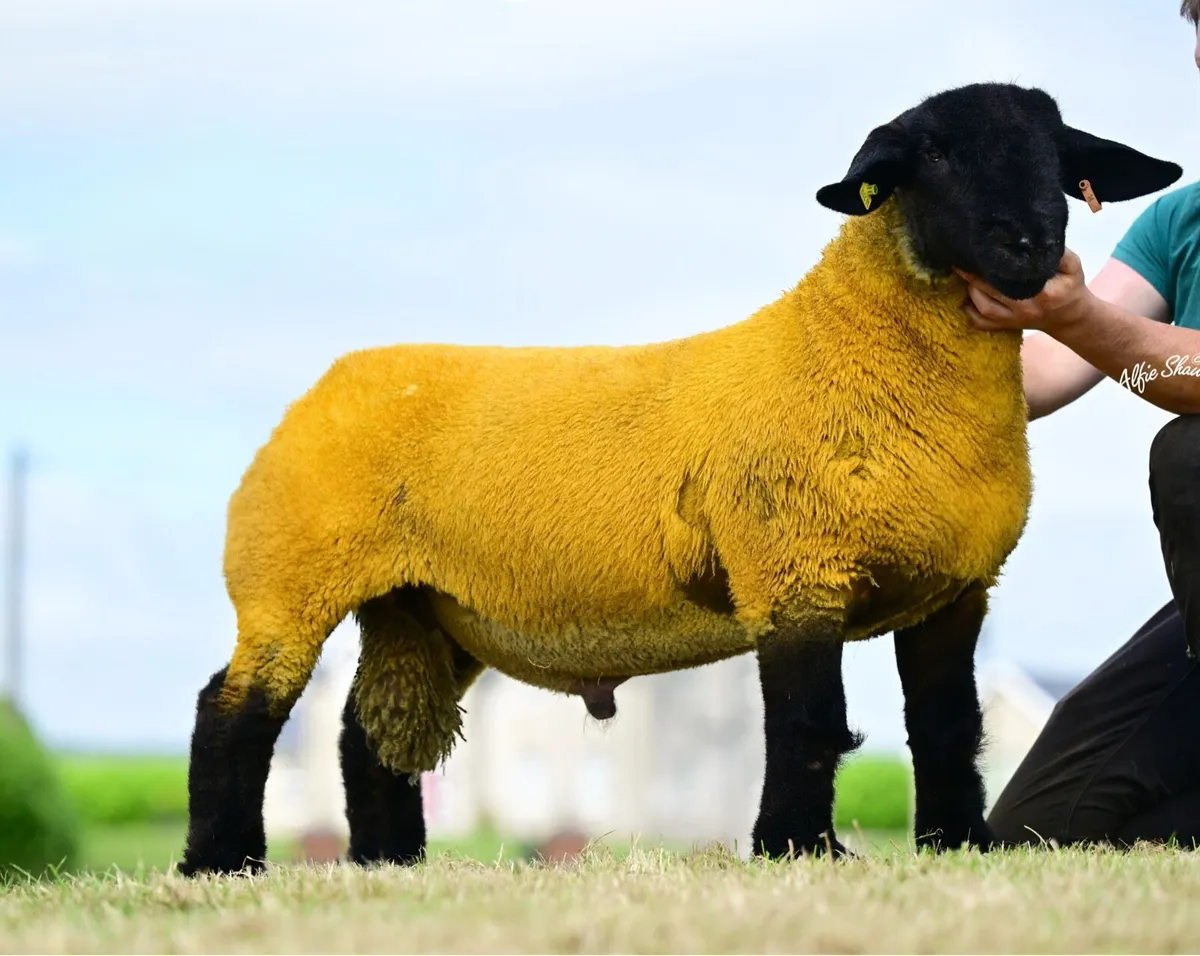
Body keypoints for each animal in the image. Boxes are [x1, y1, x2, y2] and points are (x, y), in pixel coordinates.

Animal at [178, 81, 1181, 876]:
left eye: (1058, 154)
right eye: (931, 153)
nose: (1032, 246)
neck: (845, 349)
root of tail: (337, 378)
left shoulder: (955, 589)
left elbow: (947, 725)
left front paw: (958, 846)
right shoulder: (793, 572)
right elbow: (810, 722)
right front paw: (799, 850)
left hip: (421, 604)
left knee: (368, 731)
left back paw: (389, 863)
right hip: (289, 576)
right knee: (235, 709)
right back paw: (222, 864)